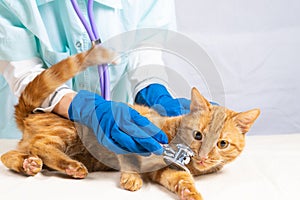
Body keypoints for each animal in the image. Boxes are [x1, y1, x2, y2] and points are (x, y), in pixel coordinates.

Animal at [0, 45, 260, 200]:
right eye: (198, 135)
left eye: (222, 144)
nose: (204, 156)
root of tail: (32, 112)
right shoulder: (129, 135)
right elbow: (129, 161)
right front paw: (131, 178)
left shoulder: (168, 171)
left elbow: (182, 181)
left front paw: (191, 193)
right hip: (67, 131)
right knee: (41, 145)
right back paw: (70, 166)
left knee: (10, 155)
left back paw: (28, 164)